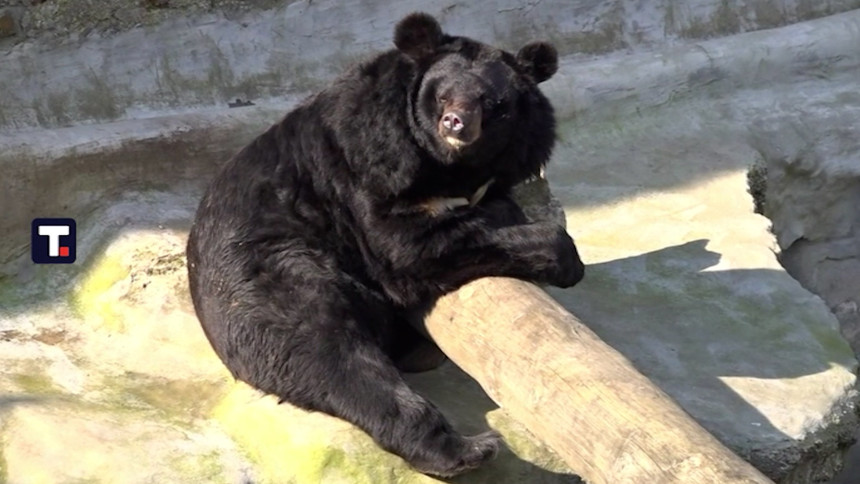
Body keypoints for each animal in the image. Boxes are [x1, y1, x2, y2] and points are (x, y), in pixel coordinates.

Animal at [187, 11, 584, 476]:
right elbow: (405, 249)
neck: (449, 165)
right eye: (442, 96)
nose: (456, 124)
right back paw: (466, 450)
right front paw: (567, 259)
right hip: (275, 277)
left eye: (492, 103)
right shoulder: (366, 166)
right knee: (331, 357)